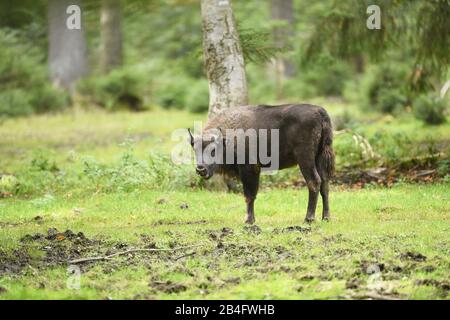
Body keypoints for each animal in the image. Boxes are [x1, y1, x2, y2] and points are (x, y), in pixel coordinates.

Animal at [187, 104, 334, 224]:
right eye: (195, 149)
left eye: (213, 150)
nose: (200, 169)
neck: (227, 138)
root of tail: (320, 112)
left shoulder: (249, 170)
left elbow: (249, 195)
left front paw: (248, 220)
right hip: (319, 158)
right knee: (325, 185)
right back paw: (326, 218)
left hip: (305, 159)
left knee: (314, 182)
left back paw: (309, 218)